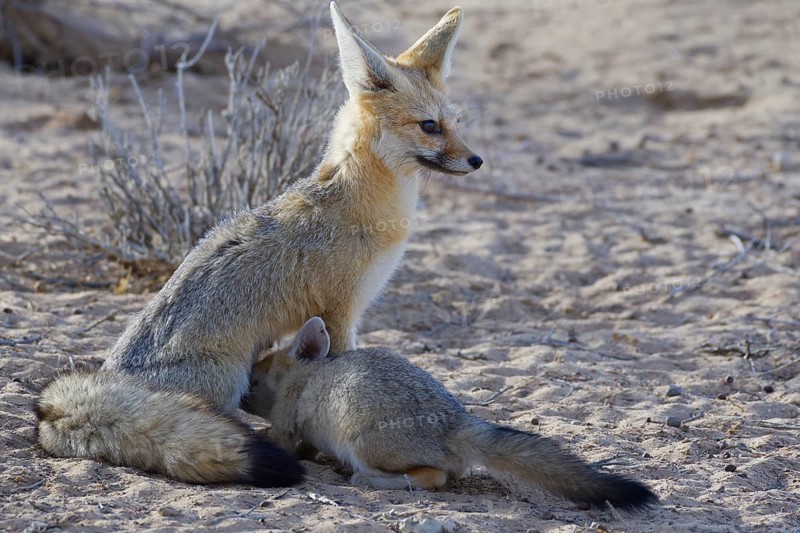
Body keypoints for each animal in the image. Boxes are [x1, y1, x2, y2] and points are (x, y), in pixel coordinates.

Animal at [35, 2, 481, 486]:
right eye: (429, 126)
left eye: (456, 124)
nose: (477, 160)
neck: (362, 201)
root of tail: (108, 380)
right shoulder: (341, 312)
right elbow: (341, 366)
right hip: (228, 377)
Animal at [246, 317, 658, 510]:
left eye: (255, 376)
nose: (240, 396)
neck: (309, 376)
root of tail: (458, 423)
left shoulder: (287, 428)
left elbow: (278, 439)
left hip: (361, 444)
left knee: (434, 477)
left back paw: (367, 480)